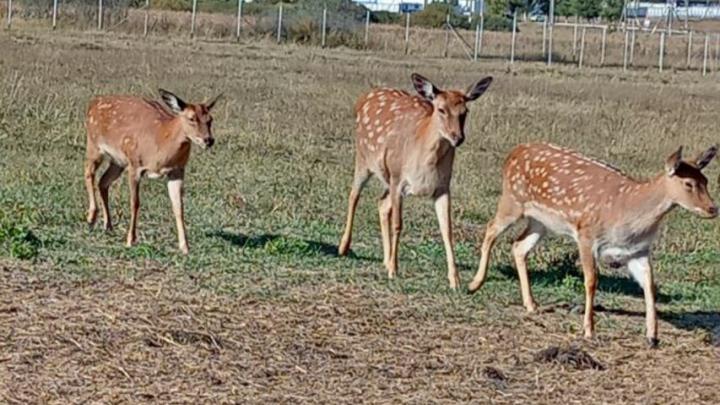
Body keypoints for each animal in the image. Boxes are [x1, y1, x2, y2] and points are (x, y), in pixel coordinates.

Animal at [84, 89, 221, 254]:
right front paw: (130, 240)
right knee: (88, 173)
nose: (209, 140)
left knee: (103, 182)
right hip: (94, 145)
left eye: (210, 119)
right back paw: (91, 218)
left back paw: (108, 225)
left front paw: (185, 247)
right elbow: (135, 203)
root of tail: (92, 103)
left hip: (118, 162)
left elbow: (178, 206)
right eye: (191, 118)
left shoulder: (177, 171)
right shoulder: (135, 164)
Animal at [338, 73, 493, 289]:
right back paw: (344, 247)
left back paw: (385, 259)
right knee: (354, 195)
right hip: (364, 159)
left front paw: (455, 280)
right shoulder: (398, 178)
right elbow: (398, 224)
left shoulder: (443, 187)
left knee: (381, 203)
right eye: (441, 109)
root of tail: (364, 98)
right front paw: (394, 270)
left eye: (465, 111)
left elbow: (447, 229)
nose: (457, 138)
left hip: (386, 178)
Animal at [467, 143, 718, 346]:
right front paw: (589, 330)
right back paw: (474, 284)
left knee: (518, 246)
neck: (628, 218)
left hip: (541, 221)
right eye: (688, 184)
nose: (713, 208)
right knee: (491, 229)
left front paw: (652, 335)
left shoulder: (638, 251)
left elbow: (650, 284)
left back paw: (531, 304)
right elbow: (591, 281)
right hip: (512, 200)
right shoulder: (586, 235)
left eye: (706, 181)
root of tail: (514, 152)